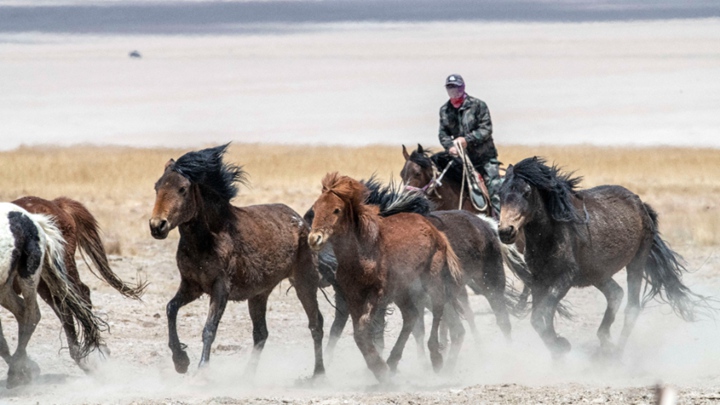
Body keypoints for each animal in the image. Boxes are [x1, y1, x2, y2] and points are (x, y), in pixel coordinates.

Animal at [12, 196, 146, 371]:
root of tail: (56, 204)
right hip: (45, 280)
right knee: (64, 304)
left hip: (62, 267)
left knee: (78, 297)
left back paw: (92, 351)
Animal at [149, 144, 324, 378]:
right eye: (156, 187)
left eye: (182, 189)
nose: (157, 226)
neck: (208, 238)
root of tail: (302, 222)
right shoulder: (191, 286)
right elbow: (171, 309)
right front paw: (180, 361)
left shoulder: (220, 288)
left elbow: (209, 328)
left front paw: (201, 370)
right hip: (259, 294)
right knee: (261, 333)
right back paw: (246, 377)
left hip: (304, 282)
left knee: (316, 324)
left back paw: (318, 374)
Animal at [307, 173, 464, 383]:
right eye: (315, 208)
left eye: (336, 210)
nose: (314, 238)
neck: (364, 251)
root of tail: (435, 231)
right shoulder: (353, 296)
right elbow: (359, 332)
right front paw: (380, 368)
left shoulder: (377, 294)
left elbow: (364, 328)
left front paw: (378, 368)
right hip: (403, 291)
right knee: (412, 316)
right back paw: (393, 361)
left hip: (431, 281)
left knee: (438, 310)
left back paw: (436, 358)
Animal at [497, 156, 712, 359]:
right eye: (500, 194)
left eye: (526, 192)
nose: (506, 231)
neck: (551, 233)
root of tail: (640, 203)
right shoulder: (539, 280)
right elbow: (537, 319)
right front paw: (559, 349)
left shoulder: (564, 278)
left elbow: (543, 314)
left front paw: (561, 346)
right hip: (597, 274)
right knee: (615, 293)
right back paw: (605, 341)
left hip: (636, 262)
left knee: (631, 308)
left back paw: (616, 355)